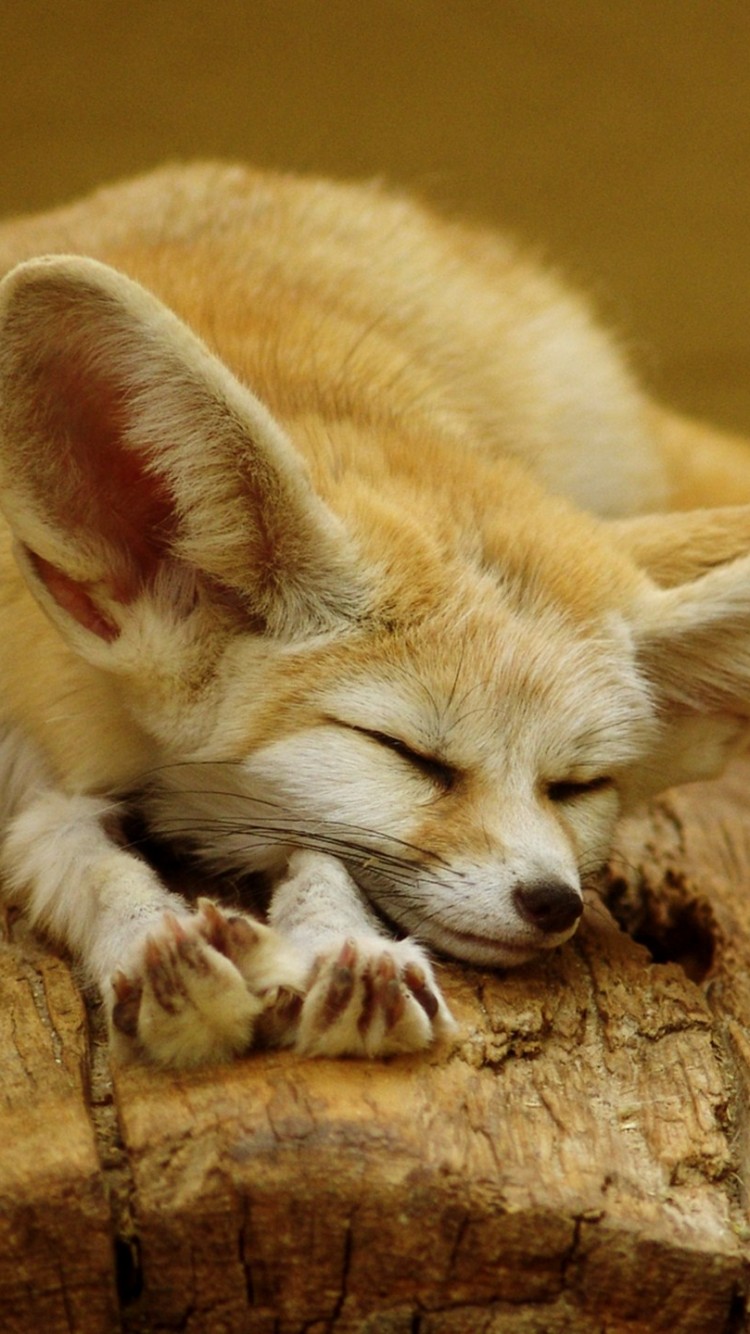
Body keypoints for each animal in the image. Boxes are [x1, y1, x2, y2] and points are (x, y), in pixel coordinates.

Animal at [1, 162, 750, 1068]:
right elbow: (74, 854)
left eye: (578, 786)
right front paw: (158, 949)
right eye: (406, 754)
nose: (553, 901)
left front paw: (344, 950)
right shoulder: (29, 745)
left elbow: (325, 853)